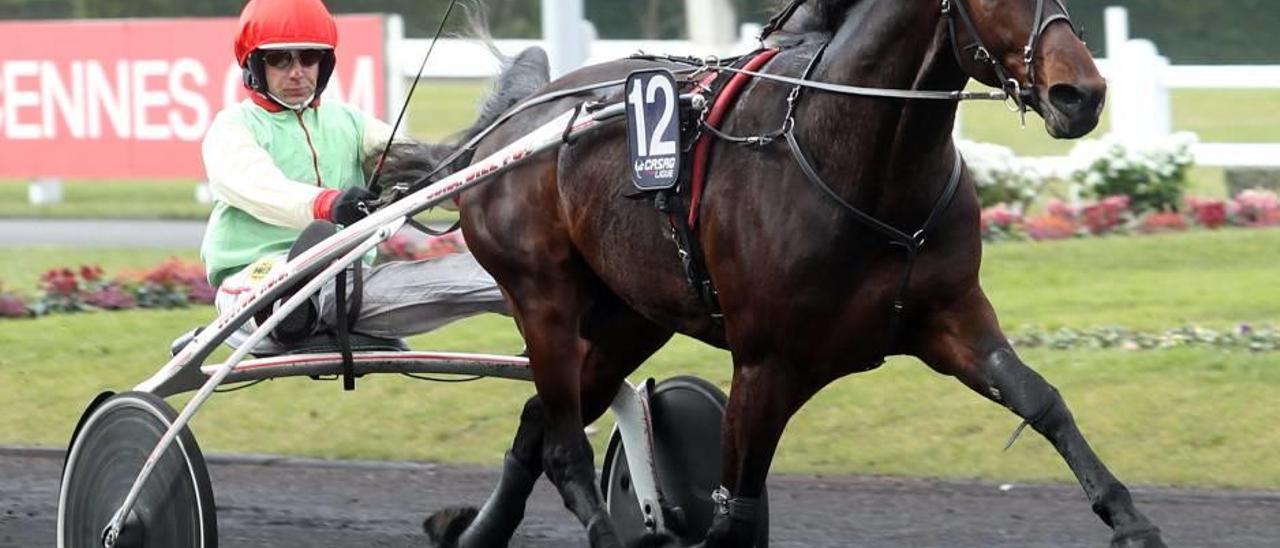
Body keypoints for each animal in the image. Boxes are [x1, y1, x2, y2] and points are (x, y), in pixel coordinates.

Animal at [407, 1, 1162, 548]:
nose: (1081, 93)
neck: (853, 158)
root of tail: (505, 127)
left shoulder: (950, 315)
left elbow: (1040, 401)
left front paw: (1131, 522)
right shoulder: (767, 363)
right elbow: (733, 514)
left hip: (629, 318)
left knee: (538, 424)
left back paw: (471, 533)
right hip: (544, 300)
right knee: (562, 446)